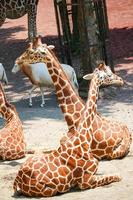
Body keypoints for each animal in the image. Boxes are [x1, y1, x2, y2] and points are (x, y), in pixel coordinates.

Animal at [13, 63, 121, 196]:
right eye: (108, 75)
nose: (120, 80)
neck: (83, 139)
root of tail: (17, 179)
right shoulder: (85, 181)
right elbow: (115, 177)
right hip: (50, 190)